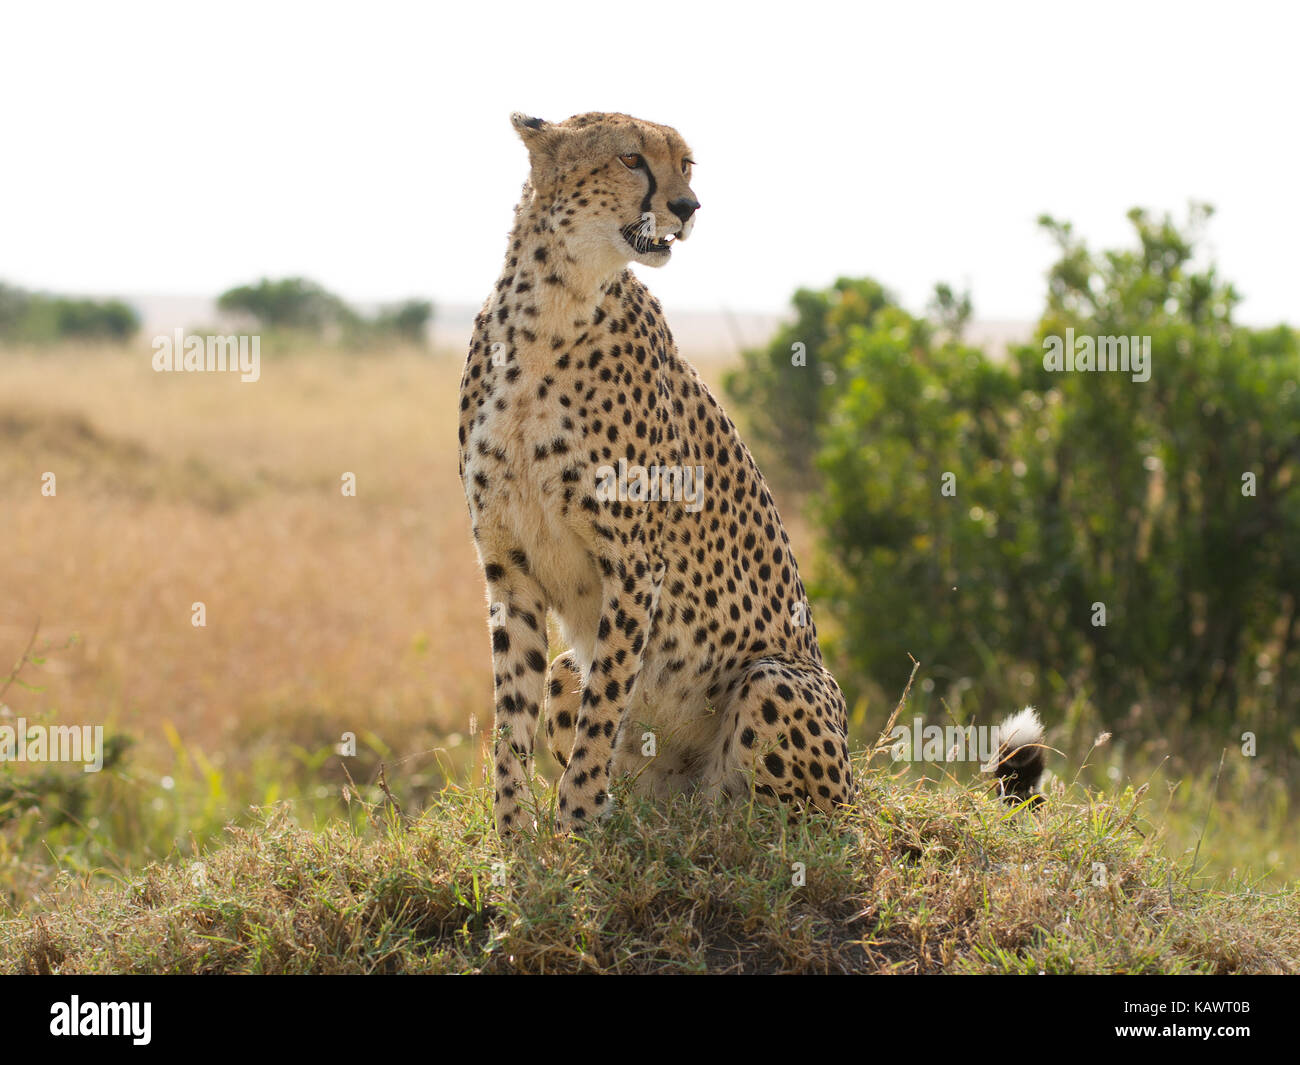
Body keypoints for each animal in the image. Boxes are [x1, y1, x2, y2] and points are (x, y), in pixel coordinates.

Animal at [457, 114, 852, 832]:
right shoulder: (507, 566)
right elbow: (511, 714)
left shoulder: (636, 562)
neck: (550, 311)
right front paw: (514, 837)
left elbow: (606, 702)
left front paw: (577, 824)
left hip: (777, 682)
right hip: (572, 673)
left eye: (687, 164)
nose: (688, 207)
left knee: (781, 816)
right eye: (631, 159)